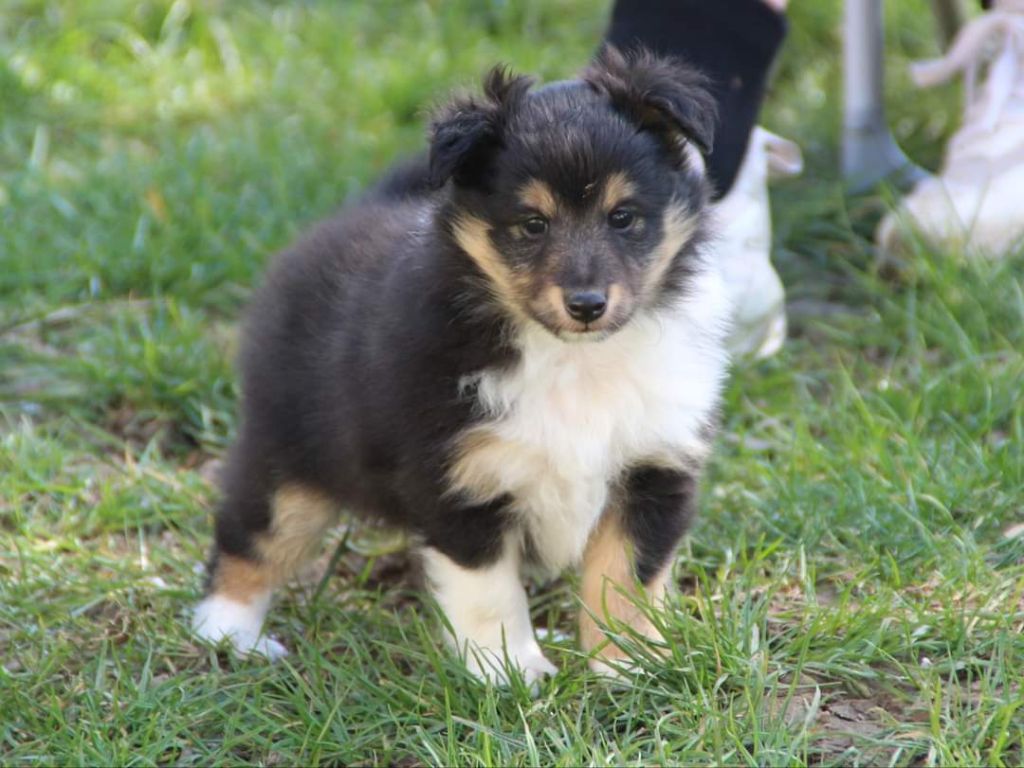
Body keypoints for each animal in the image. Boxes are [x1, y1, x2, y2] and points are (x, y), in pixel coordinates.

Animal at [193, 46, 729, 684]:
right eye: (533, 224)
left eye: (623, 217)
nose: (586, 305)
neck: (570, 358)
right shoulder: (459, 479)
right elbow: (490, 590)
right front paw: (510, 672)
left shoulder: (652, 468)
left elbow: (624, 580)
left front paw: (628, 667)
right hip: (292, 452)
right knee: (254, 533)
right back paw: (230, 633)